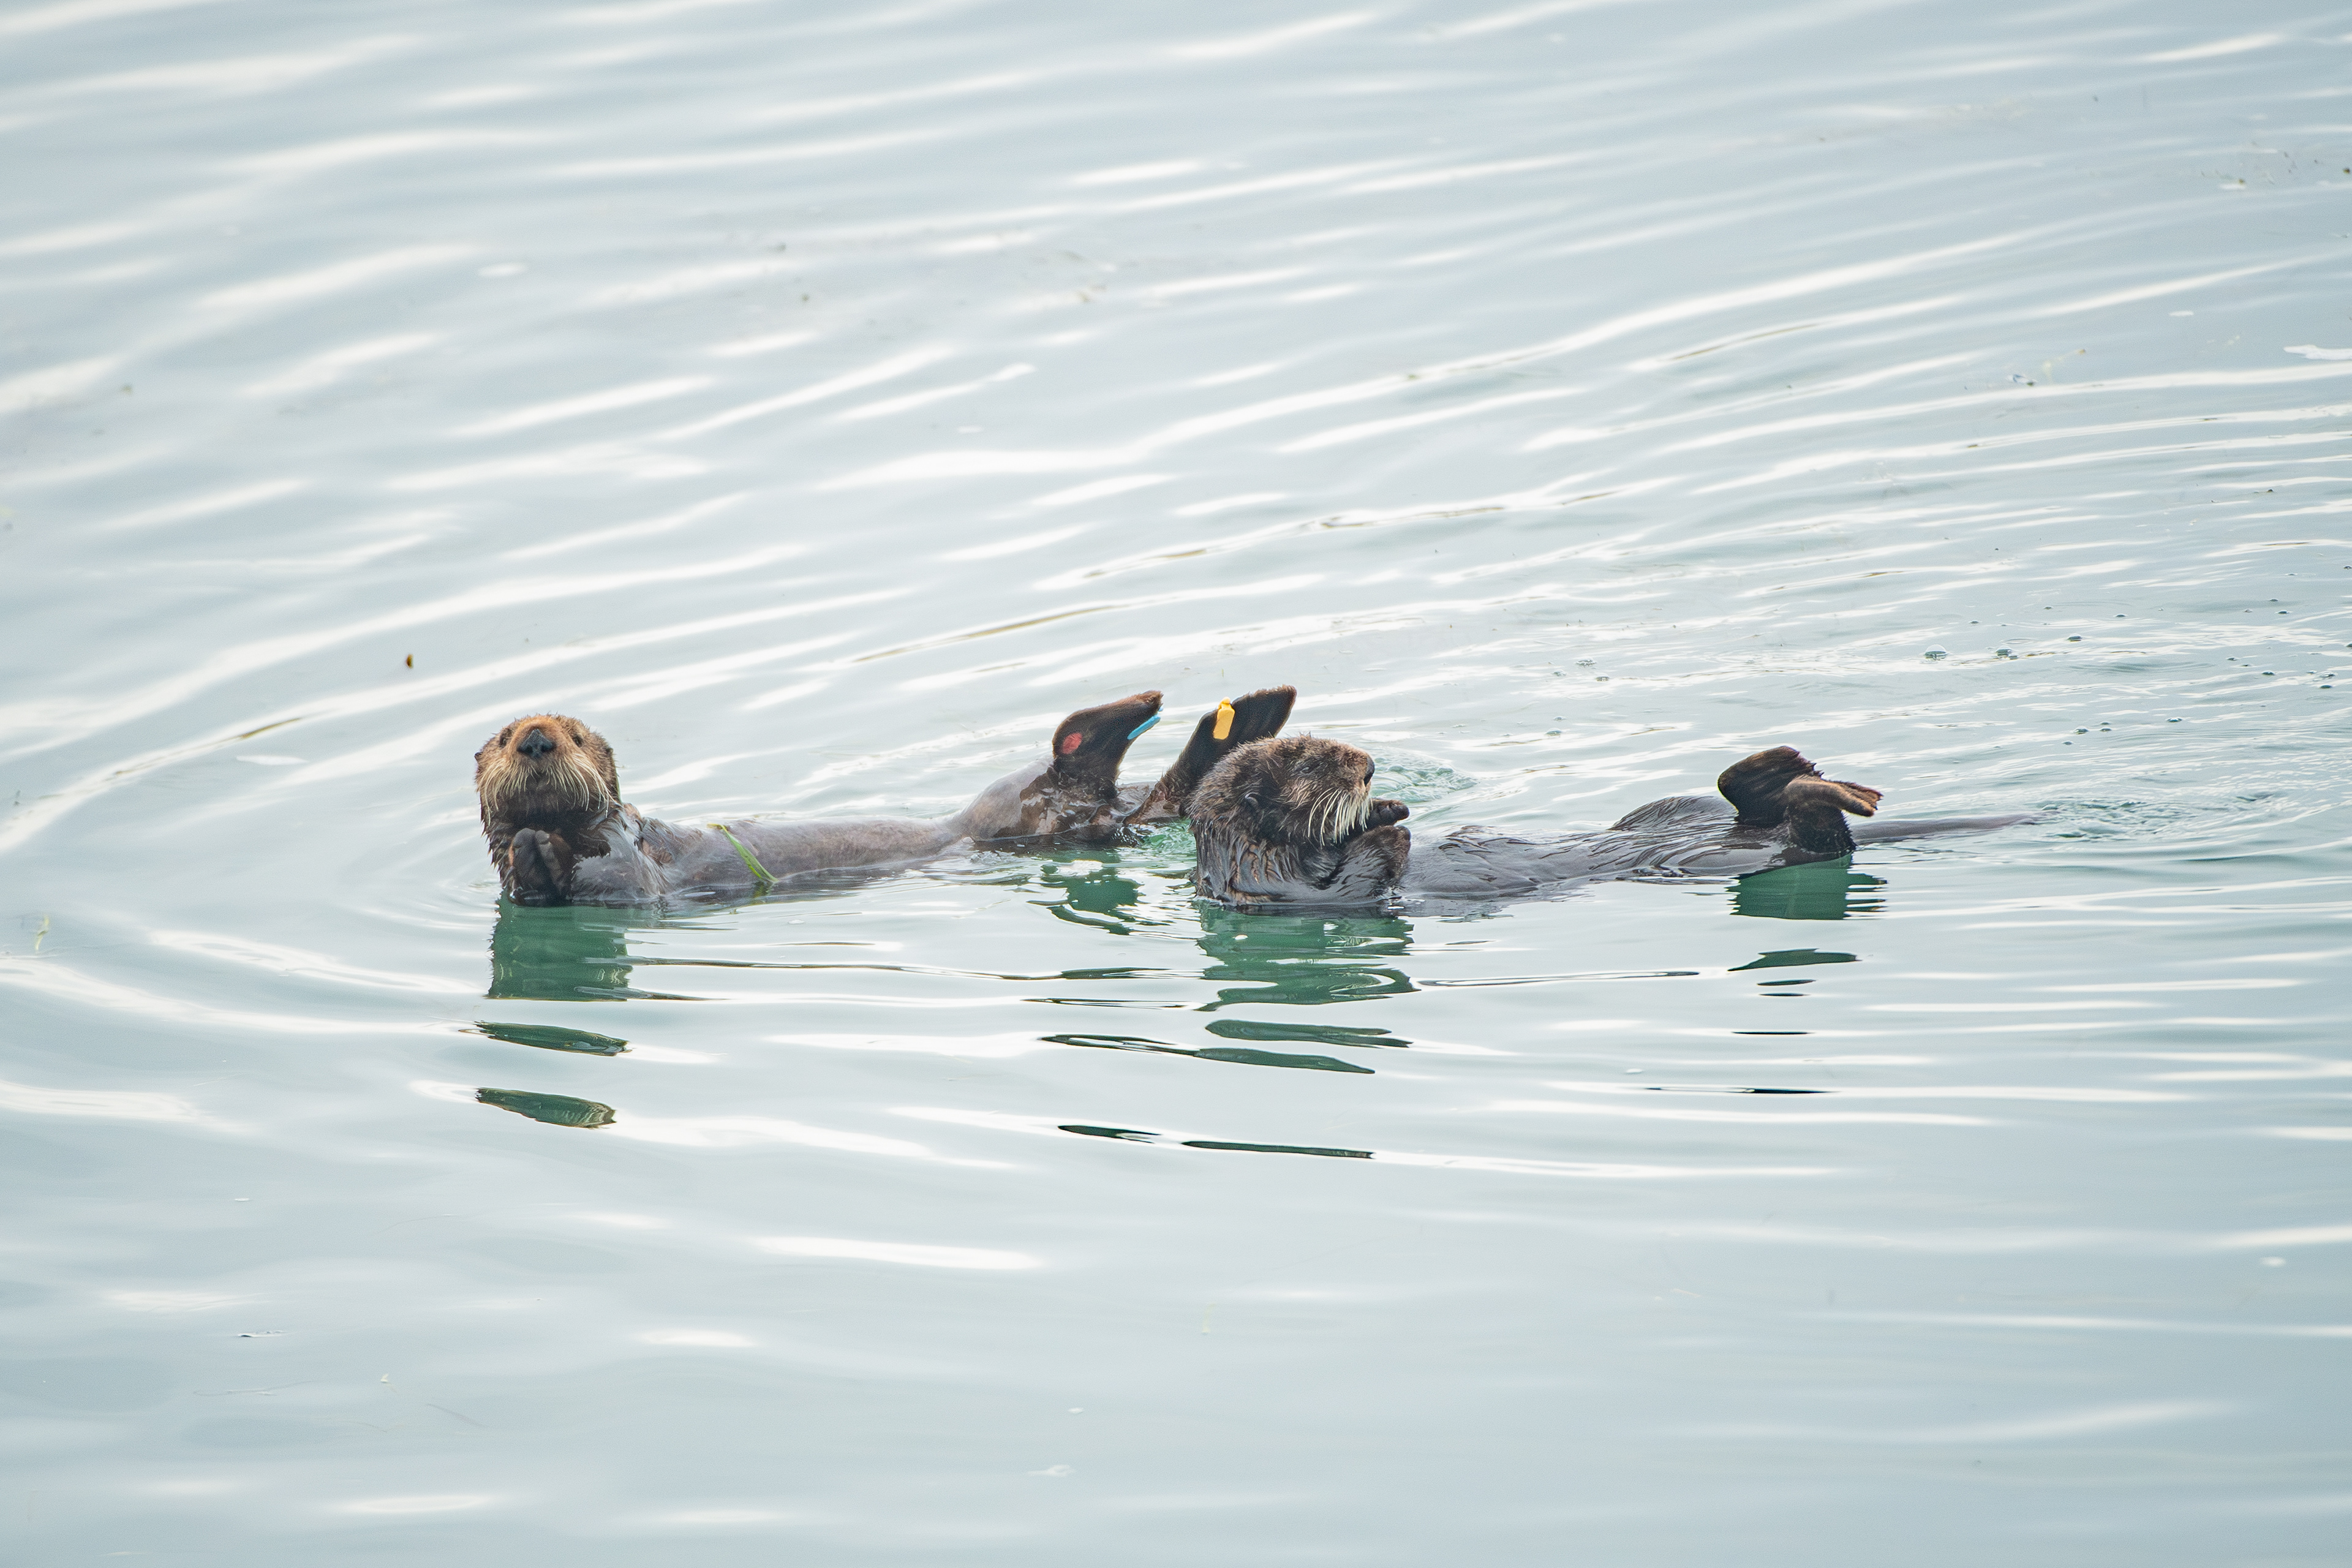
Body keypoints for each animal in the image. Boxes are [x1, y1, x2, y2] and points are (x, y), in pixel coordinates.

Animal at [479, 685, 1296, 905]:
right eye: (504, 732)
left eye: (577, 734)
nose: (538, 739)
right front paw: (527, 848)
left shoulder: (632, 859)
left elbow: (621, 875)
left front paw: (543, 844)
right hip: (1058, 819)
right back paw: (1248, 718)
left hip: (1007, 803)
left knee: (1076, 752)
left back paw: (1148, 707)